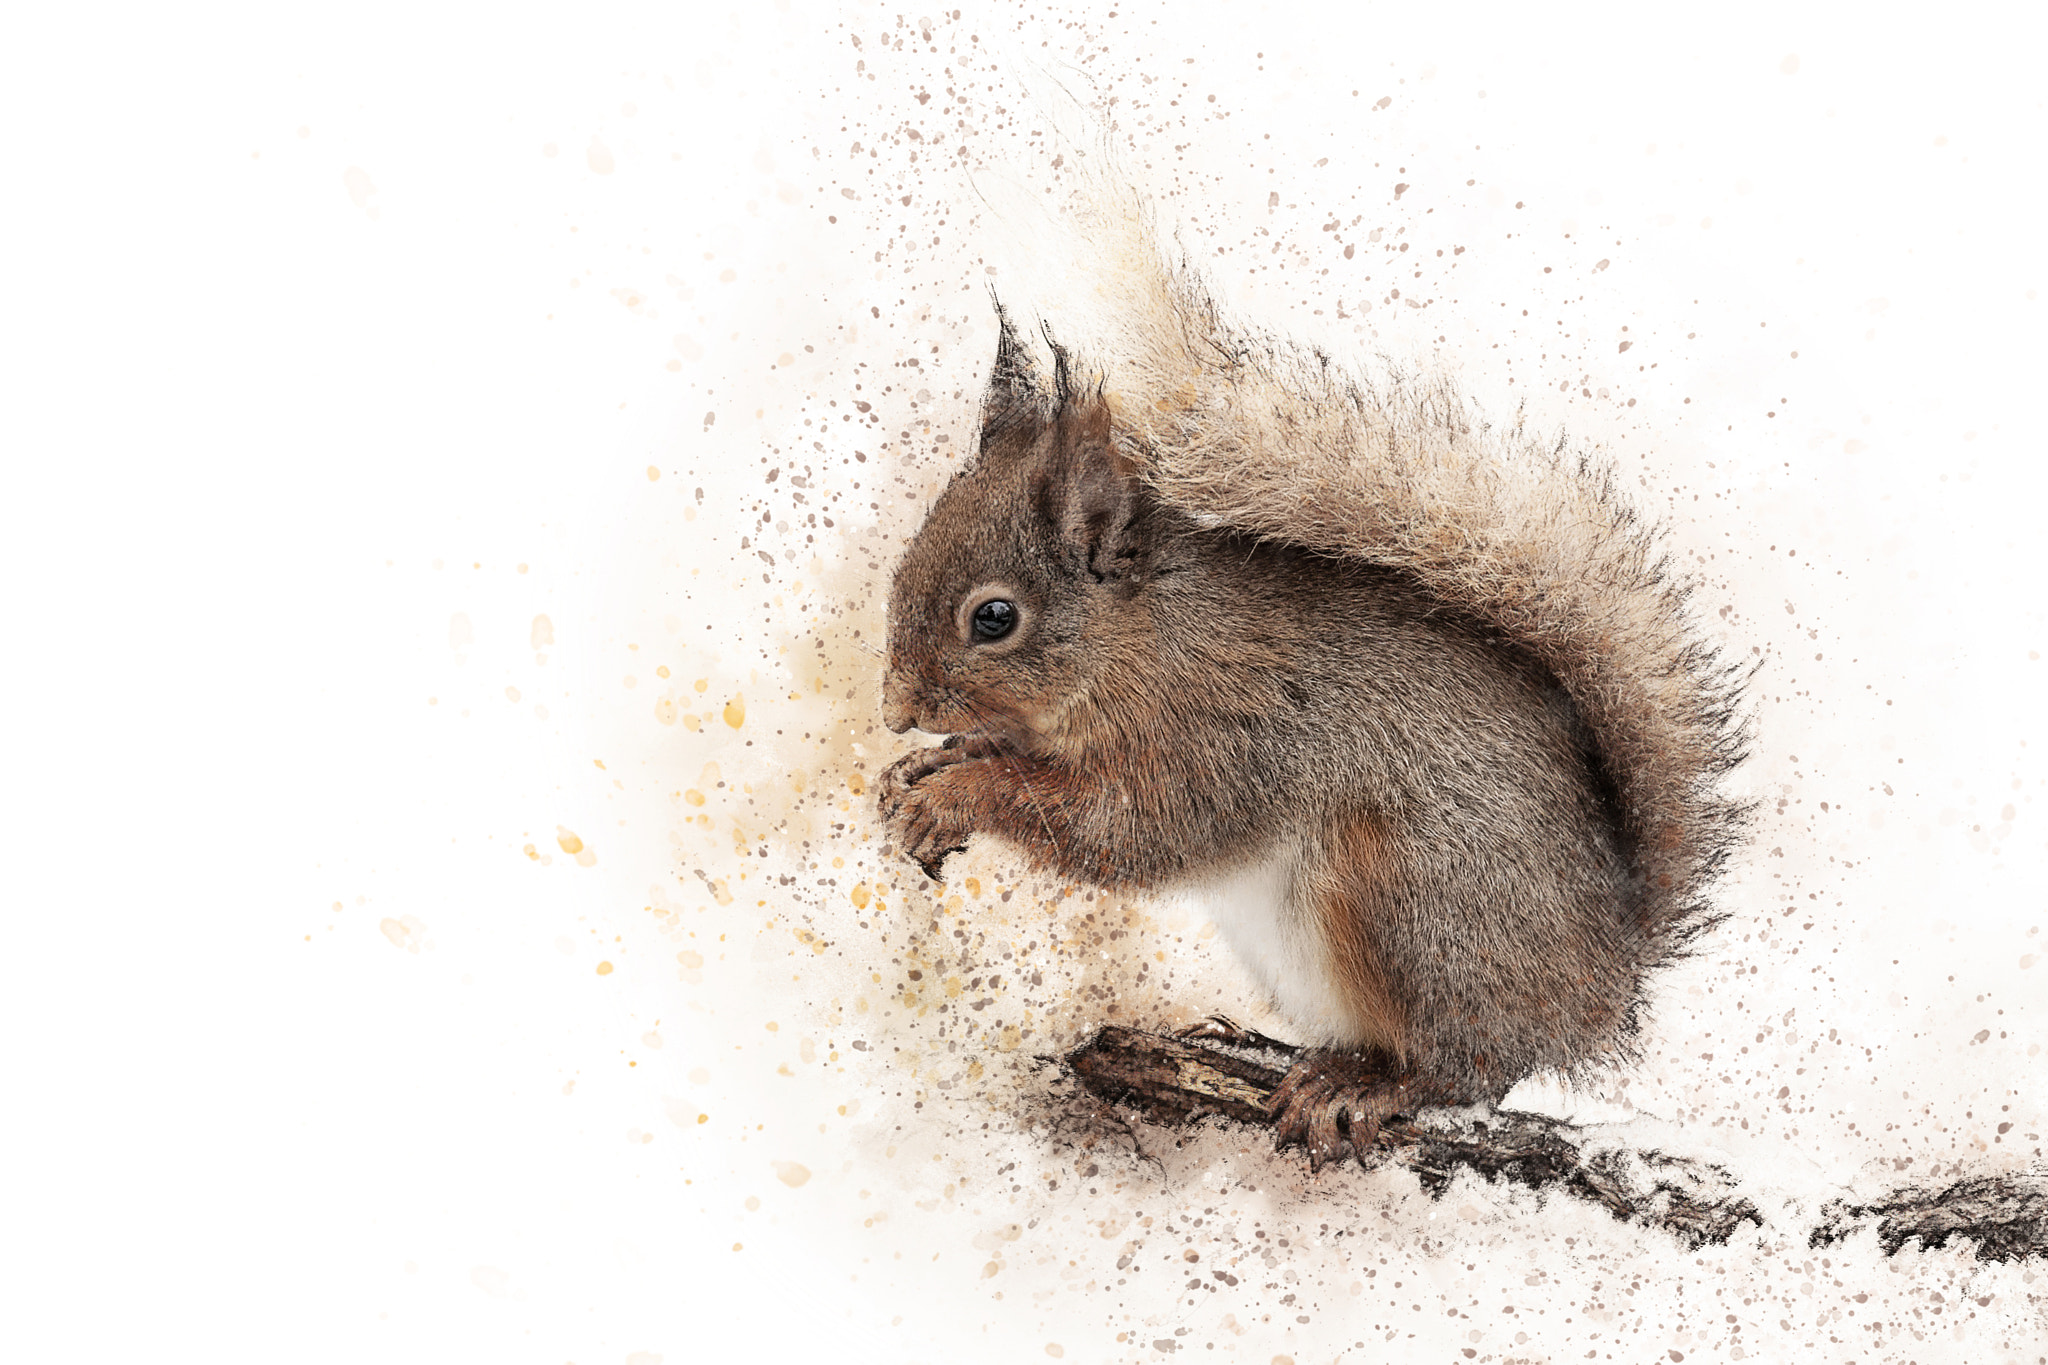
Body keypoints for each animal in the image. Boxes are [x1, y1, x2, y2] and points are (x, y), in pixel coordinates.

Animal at [875, 185, 1752, 1170]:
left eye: (994, 617)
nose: (896, 708)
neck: (1141, 640)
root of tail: (1607, 977)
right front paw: (922, 769)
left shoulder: (1222, 733)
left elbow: (1118, 826)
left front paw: (960, 793)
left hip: (1409, 899)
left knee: (1468, 1066)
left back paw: (1366, 1085)